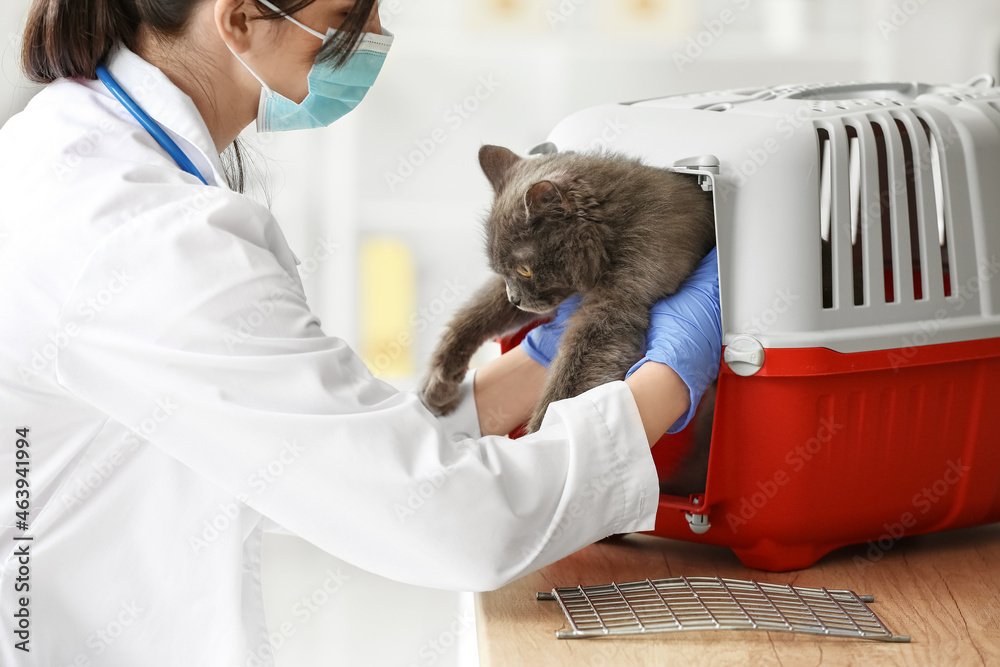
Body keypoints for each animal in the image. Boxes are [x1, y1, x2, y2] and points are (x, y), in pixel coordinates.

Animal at [418, 145, 716, 434]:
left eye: (524, 269)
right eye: (501, 270)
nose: (514, 298)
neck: (616, 226)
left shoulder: (615, 303)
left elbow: (571, 375)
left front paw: (540, 434)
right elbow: (476, 314)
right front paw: (439, 379)